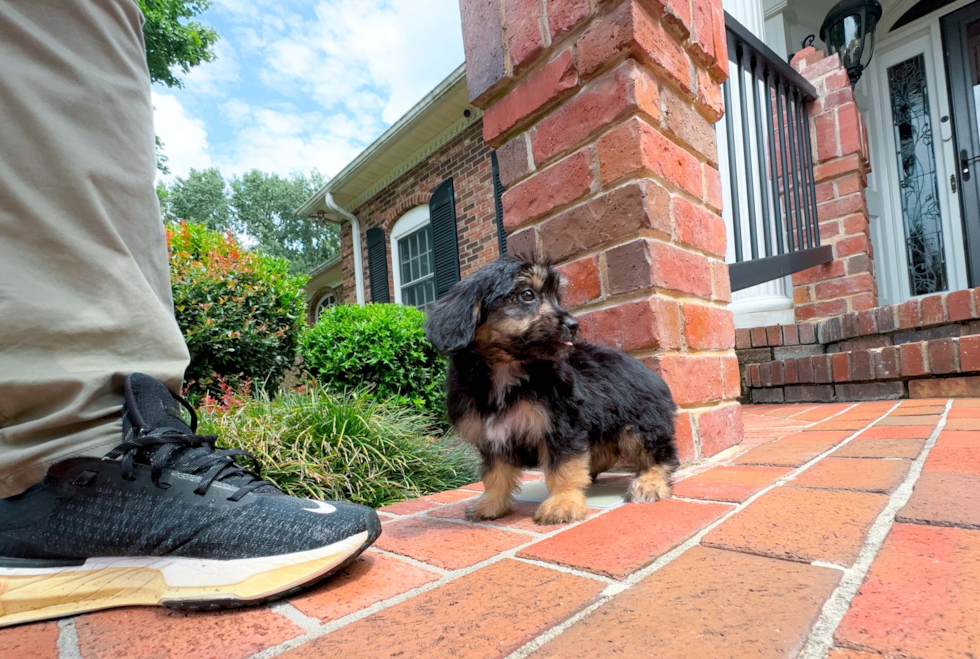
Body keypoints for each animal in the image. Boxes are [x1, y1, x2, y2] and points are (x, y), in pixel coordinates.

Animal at [424, 253, 676, 524]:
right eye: (527, 294)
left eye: (557, 297)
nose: (573, 325)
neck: (508, 372)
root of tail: (650, 372)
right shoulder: (493, 435)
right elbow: (495, 473)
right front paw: (491, 503)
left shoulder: (562, 425)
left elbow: (563, 467)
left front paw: (562, 502)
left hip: (641, 424)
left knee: (662, 454)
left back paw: (650, 482)